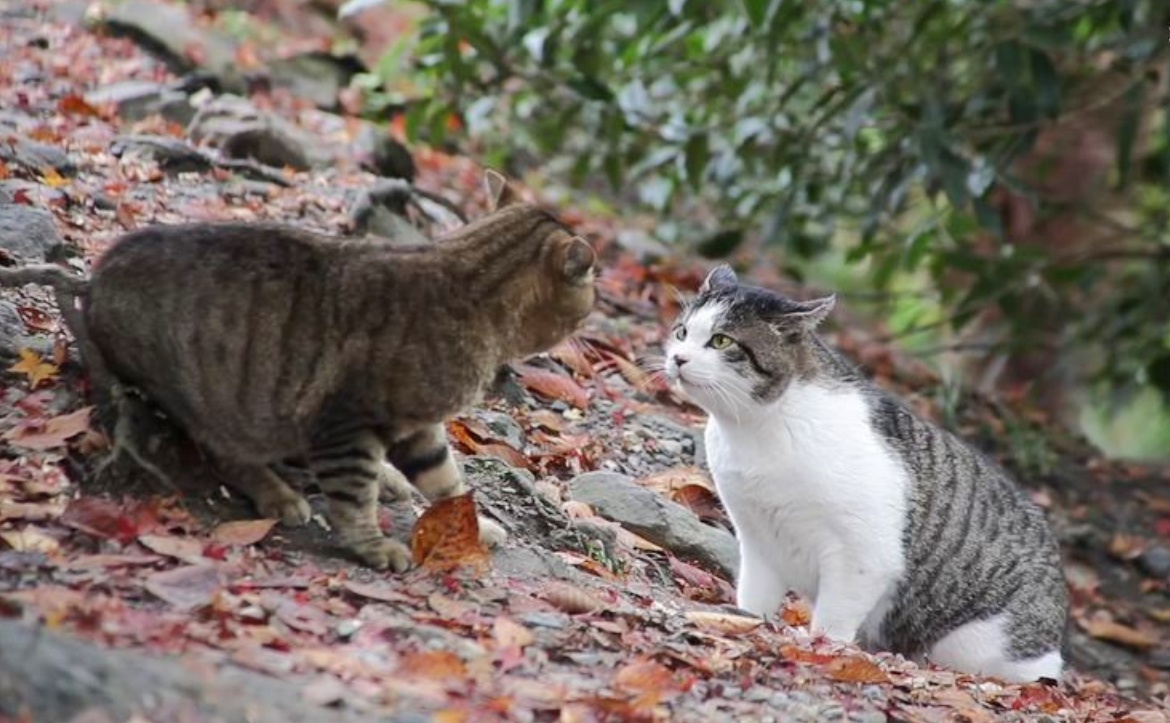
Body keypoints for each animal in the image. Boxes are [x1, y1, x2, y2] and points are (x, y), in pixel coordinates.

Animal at [4, 170, 599, 568]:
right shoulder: (348, 421)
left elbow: (446, 477)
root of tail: (95, 279)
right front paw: (372, 545)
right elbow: (354, 496)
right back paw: (281, 494)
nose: (593, 315)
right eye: (588, 294)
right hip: (214, 396)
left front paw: (475, 523)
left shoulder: (419, 426)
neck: (471, 284)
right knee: (230, 453)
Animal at [664, 262, 1067, 678]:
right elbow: (755, 595)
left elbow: (834, 619)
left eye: (721, 341)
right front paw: (746, 618)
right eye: (682, 332)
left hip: (976, 645)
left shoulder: (863, 555)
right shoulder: (759, 539)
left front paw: (821, 650)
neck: (756, 430)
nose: (678, 358)